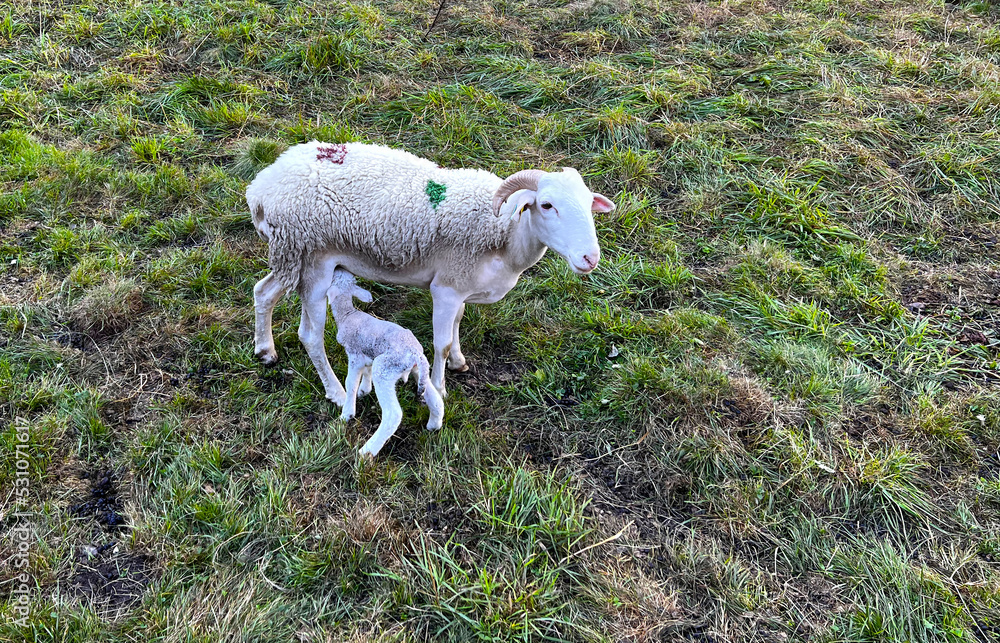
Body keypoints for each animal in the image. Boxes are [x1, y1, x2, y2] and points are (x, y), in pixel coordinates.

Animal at [247, 141, 615, 403]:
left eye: (589, 204)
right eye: (547, 205)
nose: (590, 258)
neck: (502, 233)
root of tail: (260, 189)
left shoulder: (459, 285)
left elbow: (457, 324)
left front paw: (459, 361)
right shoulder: (446, 289)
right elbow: (440, 343)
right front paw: (438, 388)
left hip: (293, 258)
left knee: (263, 291)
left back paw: (265, 351)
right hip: (312, 260)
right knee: (310, 335)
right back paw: (336, 393)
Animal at [326, 268, 444, 457]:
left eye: (334, 277)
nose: (338, 267)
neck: (348, 314)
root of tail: (415, 354)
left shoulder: (355, 355)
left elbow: (350, 383)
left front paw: (347, 414)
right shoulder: (367, 355)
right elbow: (366, 373)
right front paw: (364, 390)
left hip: (385, 369)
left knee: (393, 414)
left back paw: (366, 451)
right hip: (418, 370)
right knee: (435, 397)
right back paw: (434, 425)